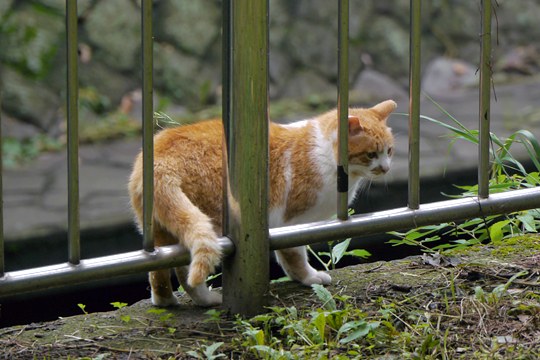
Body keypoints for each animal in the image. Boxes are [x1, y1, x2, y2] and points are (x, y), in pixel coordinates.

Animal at [127, 100, 396, 306]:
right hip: (210, 222)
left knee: (159, 270)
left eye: (390, 151)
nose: (386, 168)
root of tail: (160, 159)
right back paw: (207, 299)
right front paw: (308, 278)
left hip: (160, 229)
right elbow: (294, 256)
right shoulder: (291, 222)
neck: (325, 154)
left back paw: (165, 301)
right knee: (187, 271)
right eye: (371, 154)